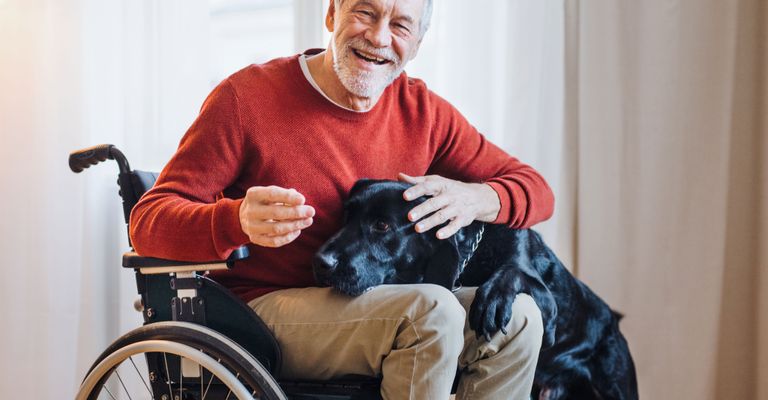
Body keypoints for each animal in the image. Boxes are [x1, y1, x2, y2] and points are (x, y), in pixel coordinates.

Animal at [316, 180, 640, 400]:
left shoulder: (549, 307)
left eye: (382, 226)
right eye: (346, 217)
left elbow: (511, 272)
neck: (474, 256)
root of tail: (615, 321)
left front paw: (491, 301)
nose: (321, 261)